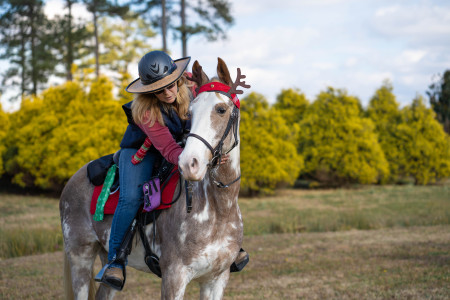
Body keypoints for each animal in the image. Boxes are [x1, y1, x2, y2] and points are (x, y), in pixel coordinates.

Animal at [59, 57, 250, 298]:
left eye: (221, 109)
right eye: (191, 113)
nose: (190, 163)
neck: (218, 209)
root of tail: (71, 181)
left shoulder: (216, 279)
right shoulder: (174, 277)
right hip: (80, 258)